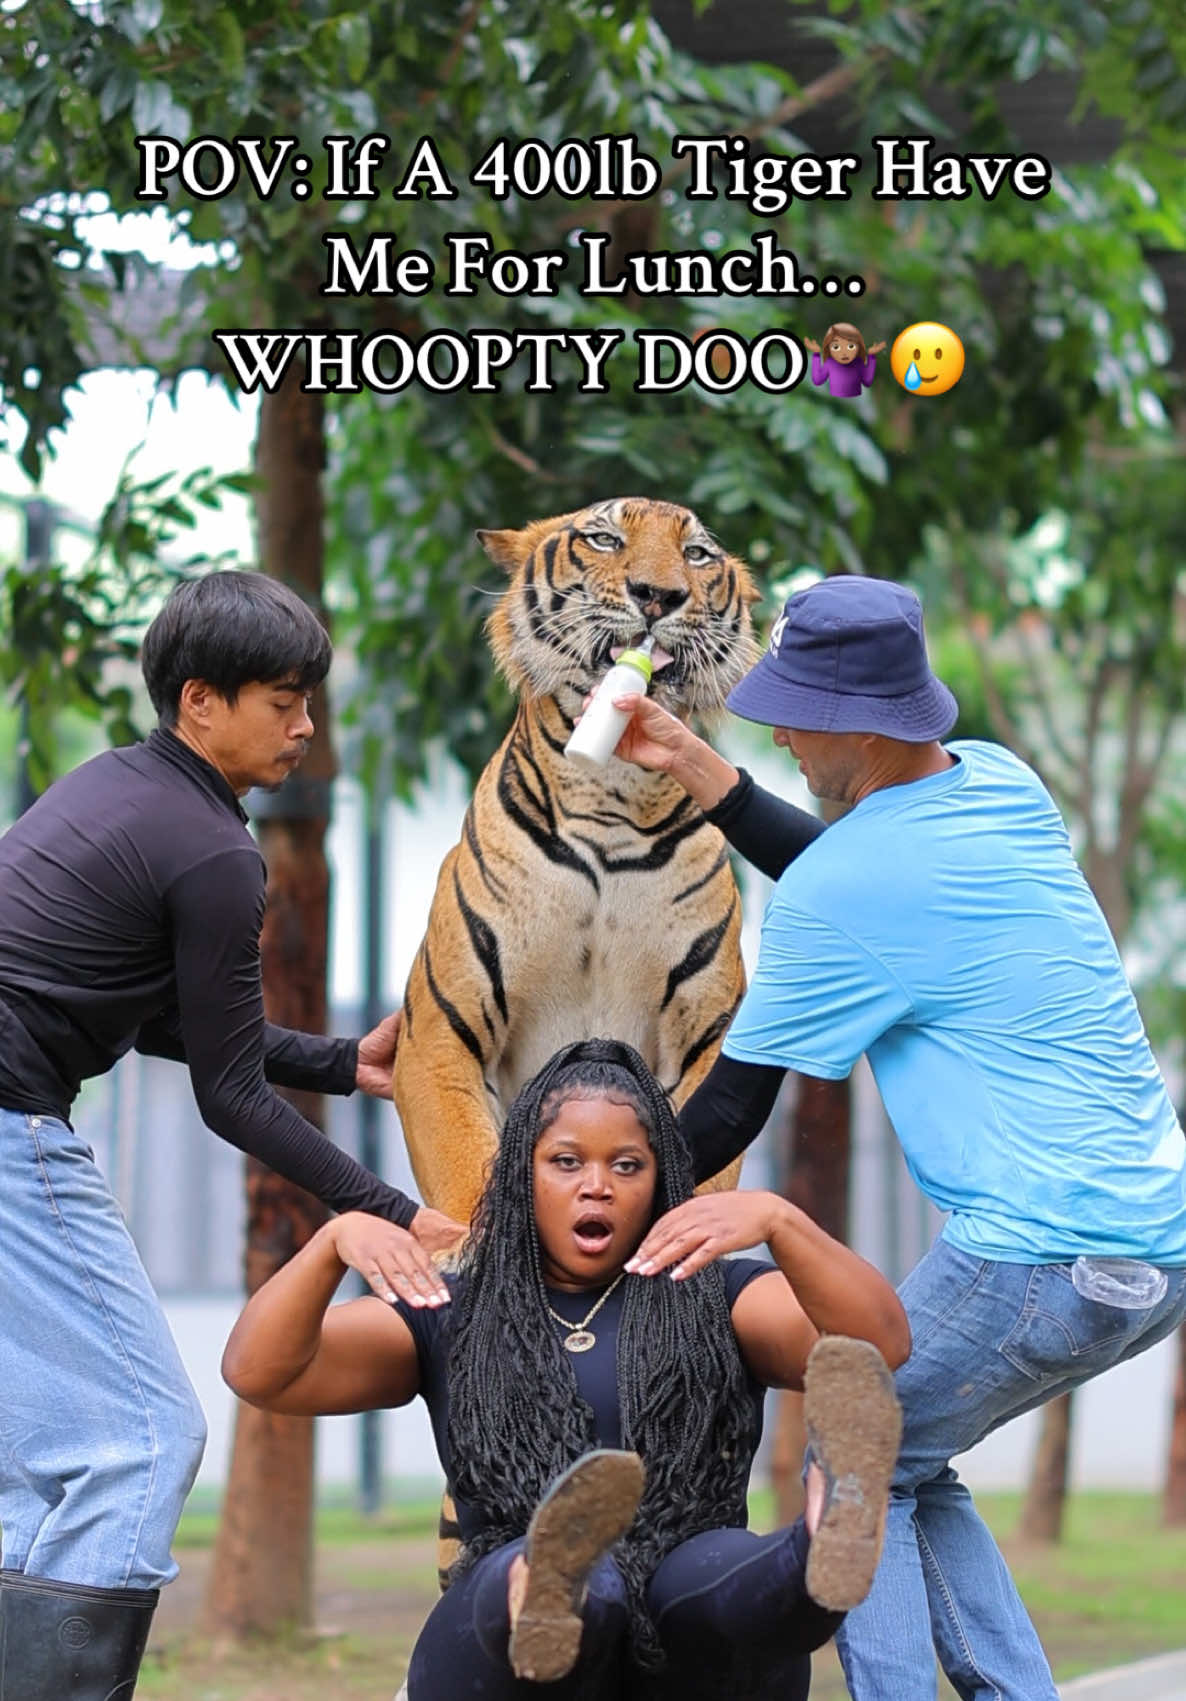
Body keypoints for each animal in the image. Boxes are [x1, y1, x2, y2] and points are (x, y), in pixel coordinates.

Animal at [393, 495, 762, 1229]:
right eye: (604, 539)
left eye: (697, 554)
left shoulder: (710, 1033)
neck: (611, 788)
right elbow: (461, 1157)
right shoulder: (438, 1029)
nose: (659, 594)